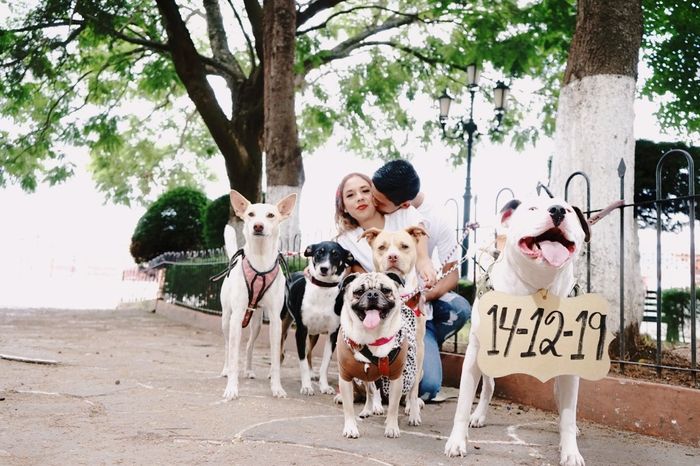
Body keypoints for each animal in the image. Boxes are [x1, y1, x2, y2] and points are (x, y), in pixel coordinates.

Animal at [219, 189, 296, 400]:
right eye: (251, 214)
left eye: (271, 215)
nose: (258, 226)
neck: (260, 262)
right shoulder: (237, 315)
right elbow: (233, 354)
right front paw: (232, 388)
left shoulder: (276, 321)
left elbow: (276, 359)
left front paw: (277, 388)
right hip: (227, 319)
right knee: (228, 346)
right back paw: (226, 370)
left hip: (257, 323)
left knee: (248, 345)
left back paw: (249, 370)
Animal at [280, 242, 352, 396]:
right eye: (319, 252)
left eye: (336, 254)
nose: (323, 268)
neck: (322, 289)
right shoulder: (301, 331)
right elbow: (302, 362)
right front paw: (307, 386)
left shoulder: (332, 334)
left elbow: (324, 364)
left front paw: (324, 386)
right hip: (283, 325)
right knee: (281, 350)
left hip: (314, 334)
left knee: (309, 352)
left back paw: (312, 373)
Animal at [336, 272, 408, 438]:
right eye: (359, 291)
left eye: (386, 290)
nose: (373, 294)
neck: (372, 336)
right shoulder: (345, 377)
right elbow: (348, 407)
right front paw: (351, 428)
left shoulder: (396, 378)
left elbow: (393, 406)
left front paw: (392, 427)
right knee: (370, 390)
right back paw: (367, 409)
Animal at [364, 226, 430, 426]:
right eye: (382, 247)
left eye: (404, 246)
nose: (393, 256)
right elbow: (371, 385)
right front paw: (372, 406)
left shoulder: (418, 347)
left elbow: (413, 388)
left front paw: (414, 414)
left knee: (410, 388)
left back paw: (410, 405)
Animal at [442, 197, 592, 466]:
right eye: (532, 208)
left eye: (569, 210)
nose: (557, 210)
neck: (539, 288)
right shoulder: (473, 356)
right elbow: (462, 403)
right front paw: (457, 441)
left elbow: (568, 412)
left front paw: (570, 451)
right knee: (488, 387)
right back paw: (478, 416)